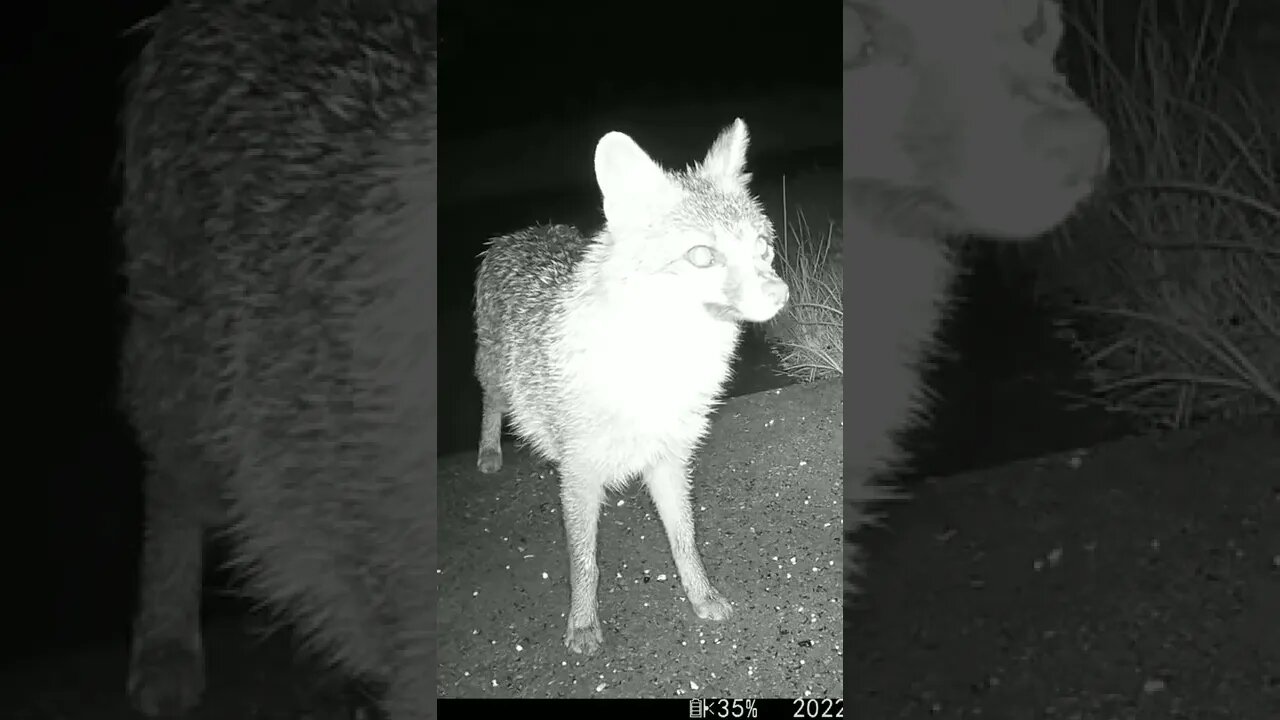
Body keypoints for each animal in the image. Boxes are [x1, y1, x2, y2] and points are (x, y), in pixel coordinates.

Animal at [473, 119, 788, 655]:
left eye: (762, 247)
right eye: (702, 256)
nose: (781, 292)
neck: (660, 370)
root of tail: (525, 231)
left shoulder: (670, 460)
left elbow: (685, 540)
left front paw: (701, 596)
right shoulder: (578, 474)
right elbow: (585, 563)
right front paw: (582, 624)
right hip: (495, 375)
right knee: (491, 403)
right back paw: (490, 450)